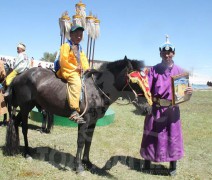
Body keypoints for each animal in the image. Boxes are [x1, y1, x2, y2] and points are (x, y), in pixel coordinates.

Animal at [4, 57, 152, 172]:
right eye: (135, 82)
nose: (148, 109)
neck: (97, 89)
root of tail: (19, 76)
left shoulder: (93, 121)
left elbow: (89, 141)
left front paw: (87, 162)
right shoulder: (84, 120)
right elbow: (80, 142)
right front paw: (79, 166)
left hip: (28, 106)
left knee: (16, 123)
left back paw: (16, 148)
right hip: (25, 107)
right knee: (23, 128)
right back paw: (27, 152)